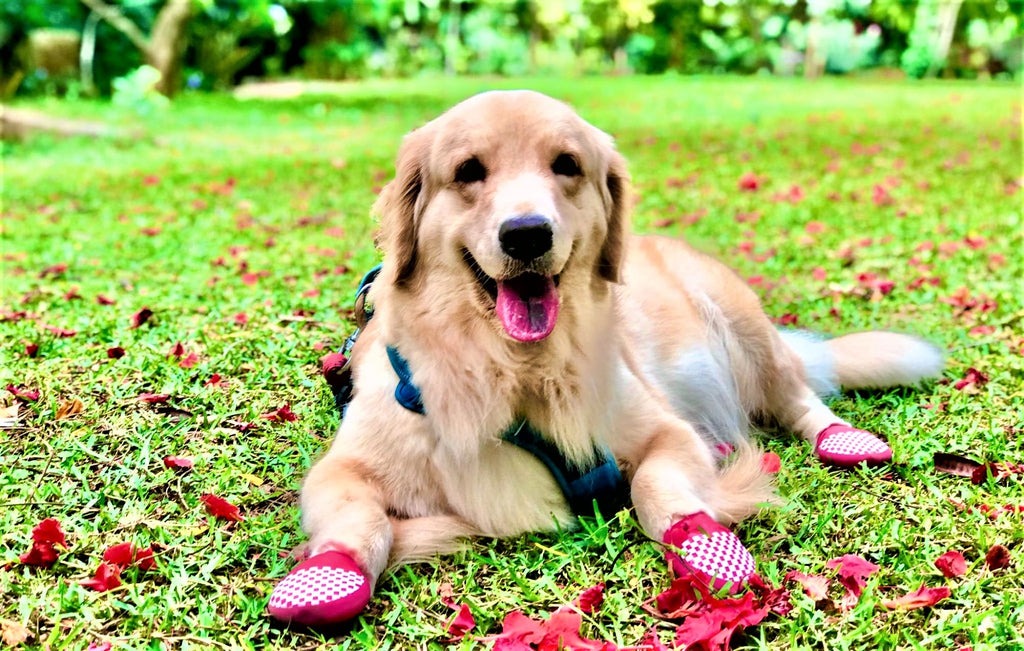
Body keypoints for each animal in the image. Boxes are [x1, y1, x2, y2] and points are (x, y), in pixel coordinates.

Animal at [266, 90, 942, 626]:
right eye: (468, 171)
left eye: (566, 165)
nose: (527, 234)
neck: (512, 370)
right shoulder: (344, 466)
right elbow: (356, 516)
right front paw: (326, 576)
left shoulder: (665, 431)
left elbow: (656, 485)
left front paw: (706, 543)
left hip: (747, 327)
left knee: (801, 398)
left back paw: (841, 438)